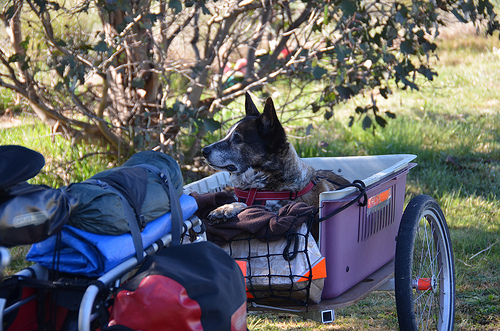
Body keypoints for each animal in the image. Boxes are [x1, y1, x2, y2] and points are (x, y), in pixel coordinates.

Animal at [201, 92, 350, 224]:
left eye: (238, 139)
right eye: (227, 134)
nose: (204, 151)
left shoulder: (285, 210)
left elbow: (251, 207)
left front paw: (226, 209)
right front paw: (227, 206)